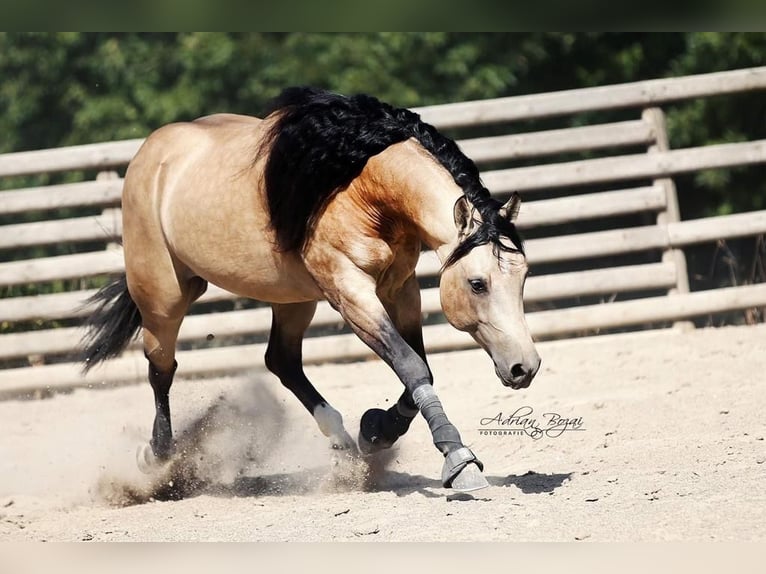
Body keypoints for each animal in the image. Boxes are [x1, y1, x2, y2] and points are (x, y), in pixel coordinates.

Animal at [80, 87, 541, 492]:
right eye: (477, 284)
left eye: (522, 276)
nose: (525, 367)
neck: (360, 185)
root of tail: (151, 153)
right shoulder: (349, 291)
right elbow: (412, 366)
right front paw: (459, 461)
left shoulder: (400, 288)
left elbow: (420, 370)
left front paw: (376, 430)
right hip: (164, 296)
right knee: (162, 369)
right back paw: (158, 456)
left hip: (292, 299)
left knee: (281, 360)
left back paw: (342, 440)